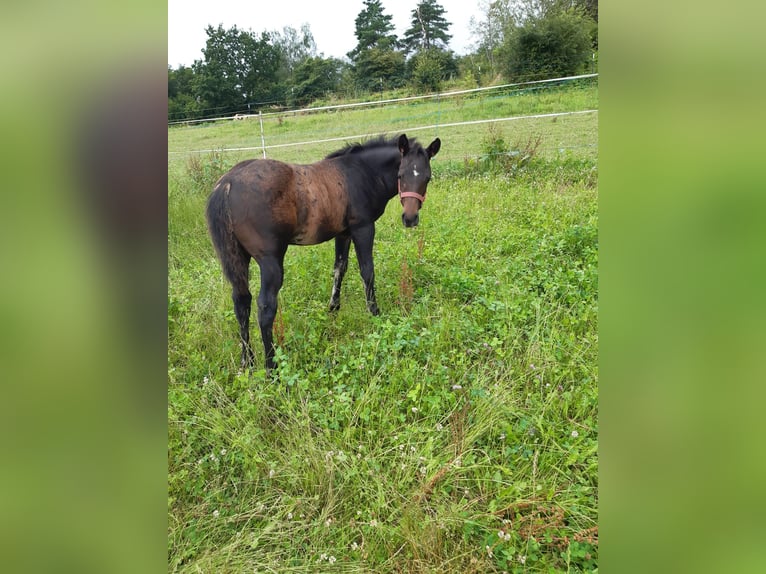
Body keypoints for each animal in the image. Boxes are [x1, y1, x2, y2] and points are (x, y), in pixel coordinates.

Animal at [207, 134, 440, 374]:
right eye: (400, 175)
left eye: (427, 177)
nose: (410, 218)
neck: (362, 173)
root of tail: (227, 184)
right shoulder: (363, 228)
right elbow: (367, 271)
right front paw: (375, 313)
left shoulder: (343, 233)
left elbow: (340, 268)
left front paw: (333, 309)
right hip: (270, 260)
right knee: (265, 307)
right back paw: (271, 366)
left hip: (237, 257)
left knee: (241, 302)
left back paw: (248, 361)